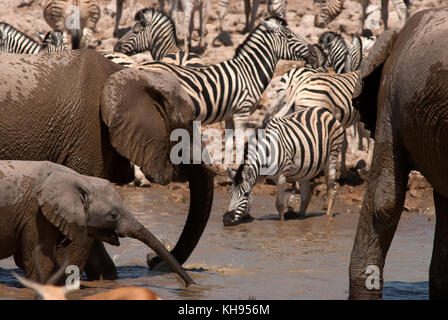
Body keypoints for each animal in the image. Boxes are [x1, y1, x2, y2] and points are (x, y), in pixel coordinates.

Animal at [135, 16, 314, 132]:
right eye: (289, 36)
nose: (313, 50)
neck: (249, 71)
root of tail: (139, 65)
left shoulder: (229, 116)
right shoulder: (242, 112)